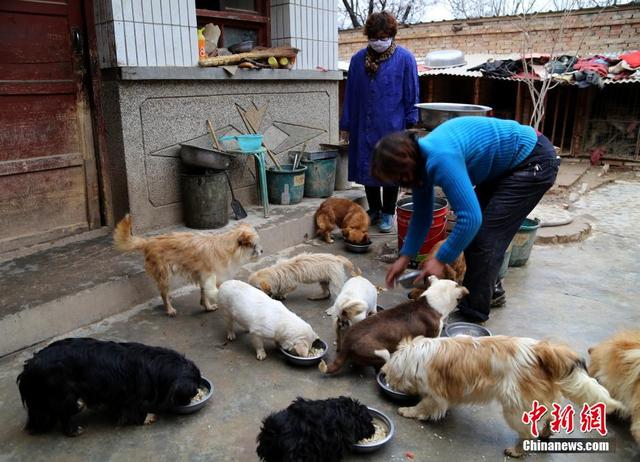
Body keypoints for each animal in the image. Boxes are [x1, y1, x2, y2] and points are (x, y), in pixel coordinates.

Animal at [16, 338, 201, 434]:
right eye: (192, 391)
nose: (189, 401)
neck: (153, 364)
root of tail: (30, 366)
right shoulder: (131, 396)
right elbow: (134, 410)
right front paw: (146, 418)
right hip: (64, 395)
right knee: (64, 414)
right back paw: (73, 430)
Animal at [114, 214, 262, 316]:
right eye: (254, 245)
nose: (262, 251)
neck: (227, 249)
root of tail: (149, 241)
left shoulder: (204, 278)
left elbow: (204, 294)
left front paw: (207, 306)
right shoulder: (209, 276)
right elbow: (207, 292)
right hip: (165, 275)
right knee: (163, 293)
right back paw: (169, 309)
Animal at [378, 334, 624, 456]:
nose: (387, 378)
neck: (415, 356)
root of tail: (541, 350)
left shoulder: (435, 396)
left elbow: (425, 406)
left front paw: (409, 410)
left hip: (516, 408)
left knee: (528, 433)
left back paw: (516, 451)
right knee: (550, 417)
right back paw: (546, 433)